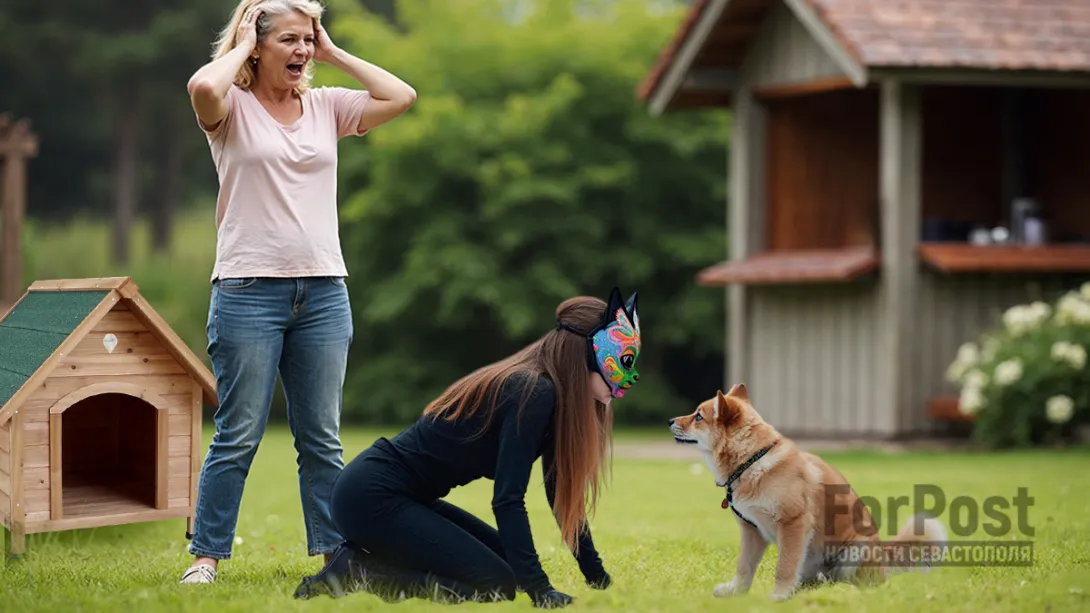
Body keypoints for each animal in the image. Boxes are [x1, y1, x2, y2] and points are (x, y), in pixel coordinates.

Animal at [662, 383, 946, 597]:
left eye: (699, 416)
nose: (669, 420)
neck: (752, 460)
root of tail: (885, 559)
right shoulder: (752, 531)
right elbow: (744, 566)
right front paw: (736, 592)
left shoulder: (793, 524)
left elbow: (785, 567)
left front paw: (777, 597)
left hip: (854, 550)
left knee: (861, 584)